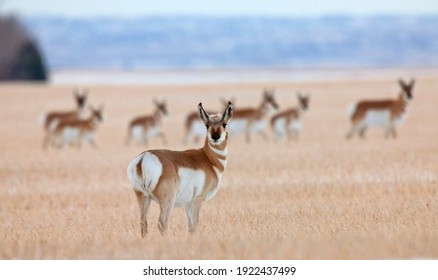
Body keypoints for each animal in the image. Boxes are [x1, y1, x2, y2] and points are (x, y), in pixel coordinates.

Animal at [126, 100, 234, 236]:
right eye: (207, 125)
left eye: (224, 124)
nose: (215, 137)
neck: (208, 158)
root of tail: (144, 158)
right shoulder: (197, 200)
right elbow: (194, 225)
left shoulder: (187, 204)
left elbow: (190, 226)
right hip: (167, 201)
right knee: (162, 222)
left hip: (143, 197)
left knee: (143, 222)